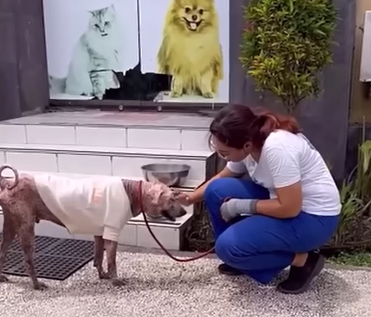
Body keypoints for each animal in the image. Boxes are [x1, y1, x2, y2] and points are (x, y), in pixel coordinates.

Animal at [0, 164, 186, 290]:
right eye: (172, 199)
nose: (185, 211)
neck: (132, 192)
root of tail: (9, 183)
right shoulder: (112, 231)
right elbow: (111, 260)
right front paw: (115, 280)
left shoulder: (100, 232)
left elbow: (99, 256)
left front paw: (102, 275)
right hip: (26, 226)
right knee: (28, 259)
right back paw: (36, 284)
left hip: (10, 224)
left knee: (3, 251)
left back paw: (2, 276)